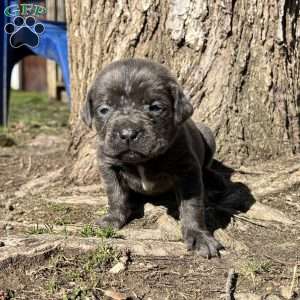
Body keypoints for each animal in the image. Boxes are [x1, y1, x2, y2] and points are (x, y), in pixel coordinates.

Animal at [81, 58, 224, 258]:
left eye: (155, 107)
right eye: (104, 109)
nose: (127, 133)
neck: (142, 161)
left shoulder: (187, 168)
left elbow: (192, 205)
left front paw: (198, 236)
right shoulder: (108, 164)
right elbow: (115, 194)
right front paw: (112, 218)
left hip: (208, 134)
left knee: (207, 166)